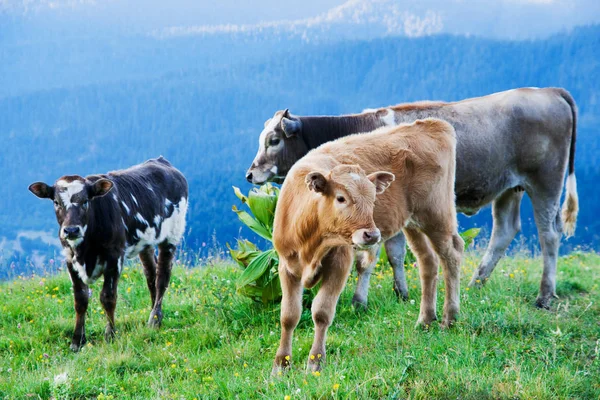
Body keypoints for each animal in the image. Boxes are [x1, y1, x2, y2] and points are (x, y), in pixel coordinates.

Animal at [28, 156, 186, 350]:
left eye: (86, 201)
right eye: (56, 202)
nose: (71, 230)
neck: (85, 251)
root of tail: (161, 161)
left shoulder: (114, 257)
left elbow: (108, 297)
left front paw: (110, 335)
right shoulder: (70, 259)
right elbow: (80, 299)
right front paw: (77, 340)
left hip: (172, 236)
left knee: (162, 277)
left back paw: (154, 320)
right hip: (146, 244)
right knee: (151, 275)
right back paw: (155, 316)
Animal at [246, 87, 580, 310]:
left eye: (273, 140)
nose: (250, 174)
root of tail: (547, 91)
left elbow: (367, 259)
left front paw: (358, 301)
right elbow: (395, 253)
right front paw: (402, 293)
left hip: (545, 181)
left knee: (549, 235)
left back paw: (543, 296)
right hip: (510, 187)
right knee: (505, 231)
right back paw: (474, 284)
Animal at [272, 117, 464, 374]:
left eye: (373, 200)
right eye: (341, 198)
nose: (372, 234)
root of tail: (431, 123)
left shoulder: (340, 262)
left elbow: (322, 312)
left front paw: (315, 363)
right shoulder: (287, 265)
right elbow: (289, 316)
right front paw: (280, 366)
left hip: (436, 213)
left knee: (451, 254)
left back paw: (449, 318)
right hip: (412, 221)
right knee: (428, 261)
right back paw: (425, 320)